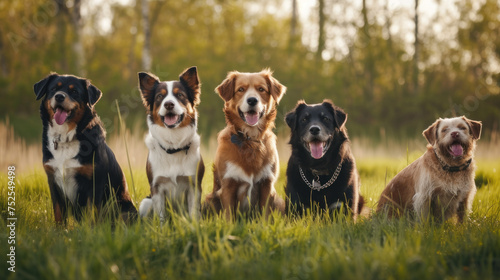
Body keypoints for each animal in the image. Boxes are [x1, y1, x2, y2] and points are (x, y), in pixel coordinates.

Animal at [34, 73, 137, 224]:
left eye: (74, 92)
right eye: (53, 89)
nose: (59, 96)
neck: (66, 138)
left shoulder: (94, 183)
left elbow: (92, 215)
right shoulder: (53, 180)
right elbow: (58, 213)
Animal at [204, 69, 286, 219]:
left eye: (261, 89)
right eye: (241, 89)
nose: (252, 100)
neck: (250, 140)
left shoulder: (267, 184)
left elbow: (265, 215)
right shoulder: (228, 184)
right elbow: (229, 216)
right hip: (210, 199)